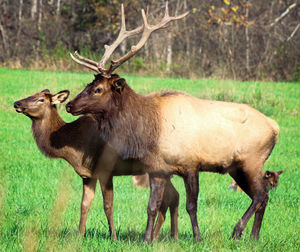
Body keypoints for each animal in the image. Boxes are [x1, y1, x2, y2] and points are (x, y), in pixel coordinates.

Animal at [14, 89, 179, 240]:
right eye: (31, 94)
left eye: (40, 99)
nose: (17, 103)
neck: (72, 145)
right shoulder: (87, 174)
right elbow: (84, 204)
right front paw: (79, 236)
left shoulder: (105, 170)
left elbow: (108, 206)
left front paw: (114, 237)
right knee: (174, 196)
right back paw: (168, 237)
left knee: (168, 199)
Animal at [65, 1, 278, 242]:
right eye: (88, 84)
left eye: (99, 89)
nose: (69, 105)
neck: (147, 134)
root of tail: (275, 127)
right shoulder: (158, 169)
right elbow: (152, 206)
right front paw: (147, 239)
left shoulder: (191, 163)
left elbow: (191, 205)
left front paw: (197, 237)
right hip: (236, 167)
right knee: (262, 197)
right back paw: (254, 236)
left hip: (251, 160)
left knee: (261, 195)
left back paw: (238, 231)